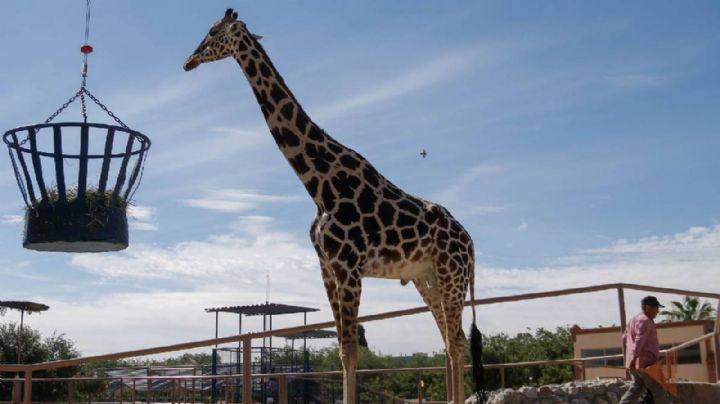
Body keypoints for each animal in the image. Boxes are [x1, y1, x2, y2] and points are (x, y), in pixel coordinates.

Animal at [184, 9, 485, 403]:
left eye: (212, 32)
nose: (188, 61)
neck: (319, 185)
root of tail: (470, 242)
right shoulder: (327, 268)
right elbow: (344, 349)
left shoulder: (348, 268)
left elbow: (352, 350)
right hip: (427, 277)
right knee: (450, 339)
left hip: (452, 274)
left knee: (457, 339)